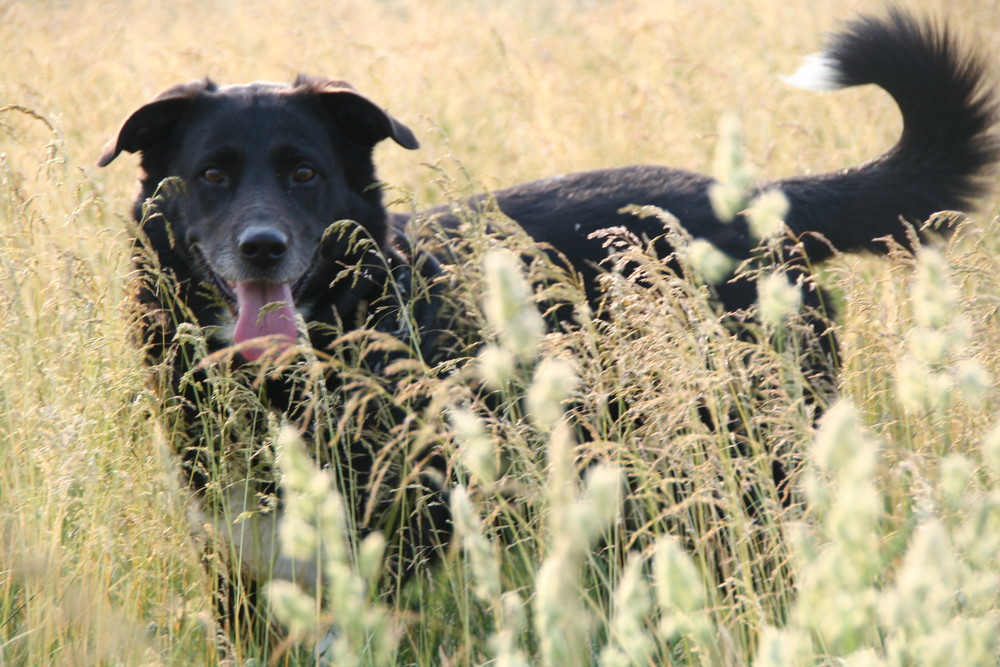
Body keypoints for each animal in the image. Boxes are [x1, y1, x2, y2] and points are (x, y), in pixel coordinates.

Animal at [99, 9, 992, 632]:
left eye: (305, 173)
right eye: (213, 174)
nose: (263, 248)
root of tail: (766, 204)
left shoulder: (392, 533)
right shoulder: (241, 548)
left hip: (745, 459)